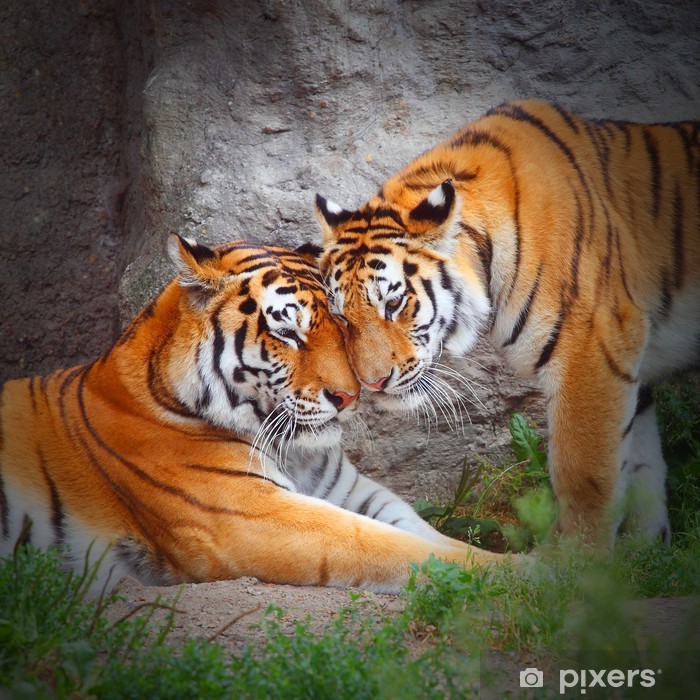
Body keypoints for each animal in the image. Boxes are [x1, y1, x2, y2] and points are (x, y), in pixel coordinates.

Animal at [0, 235, 511, 595]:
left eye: (343, 323)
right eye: (287, 332)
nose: (349, 396)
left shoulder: (352, 494)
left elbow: (432, 538)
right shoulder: (255, 518)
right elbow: (394, 547)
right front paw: (524, 576)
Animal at [315, 99, 700, 548]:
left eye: (393, 304)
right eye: (341, 316)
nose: (372, 384)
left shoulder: (593, 350)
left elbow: (586, 475)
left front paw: (574, 560)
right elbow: (641, 469)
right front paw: (643, 553)